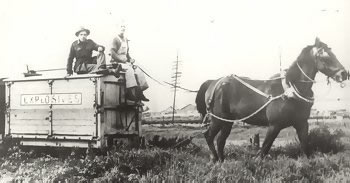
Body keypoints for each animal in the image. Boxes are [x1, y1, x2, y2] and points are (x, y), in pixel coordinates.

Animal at [196, 38, 348, 162]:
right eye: (324, 55)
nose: (344, 74)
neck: (290, 90)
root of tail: (214, 83)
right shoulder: (274, 125)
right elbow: (264, 149)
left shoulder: (302, 123)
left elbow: (305, 146)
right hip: (218, 120)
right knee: (209, 136)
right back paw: (214, 158)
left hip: (227, 122)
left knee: (220, 140)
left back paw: (222, 161)